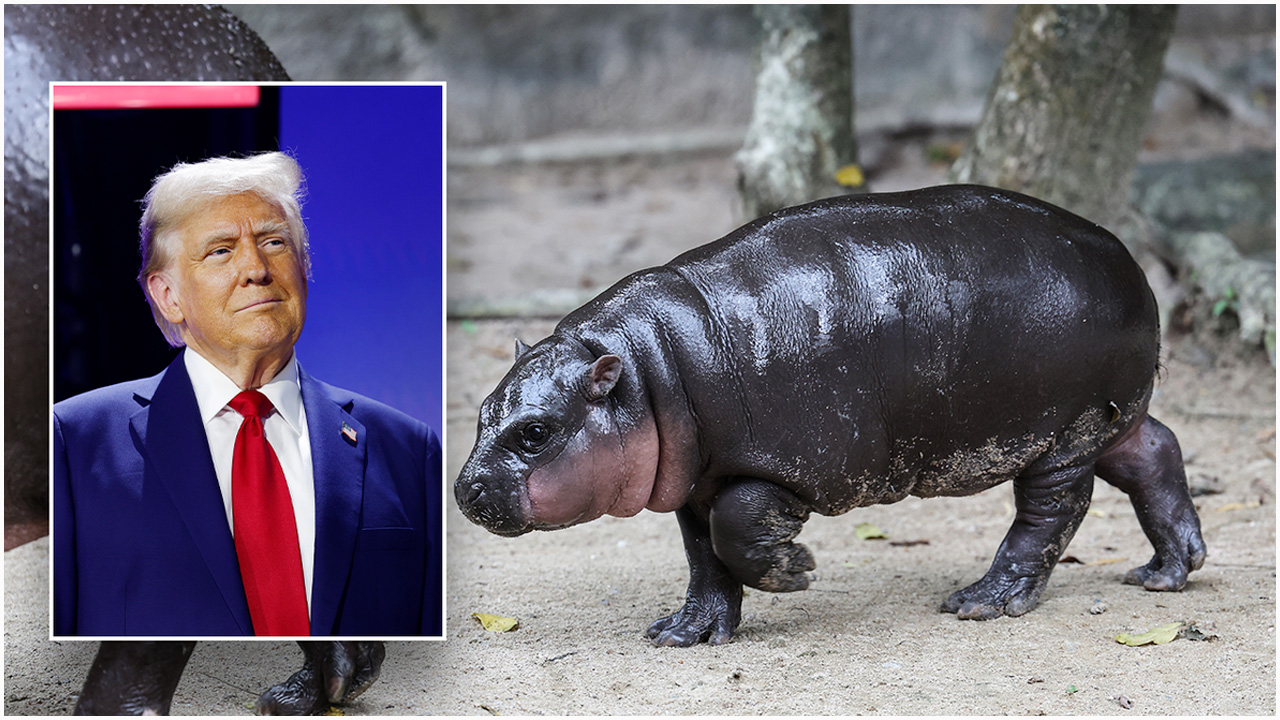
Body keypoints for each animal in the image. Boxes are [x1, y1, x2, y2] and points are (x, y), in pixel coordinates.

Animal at [456, 184, 1207, 647]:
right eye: (483, 410)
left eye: (536, 432)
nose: (463, 490)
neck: (647, 370)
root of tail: (1128, 260)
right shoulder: (696, 483)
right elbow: (705, 556)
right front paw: (682, 633)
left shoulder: (792, 469)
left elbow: (736, 530)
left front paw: (798, 571)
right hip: (1112, 418)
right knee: (1157, 452)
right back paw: (1166, 572)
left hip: (1064, 432)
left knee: (1051, 512)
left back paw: (981, 601)